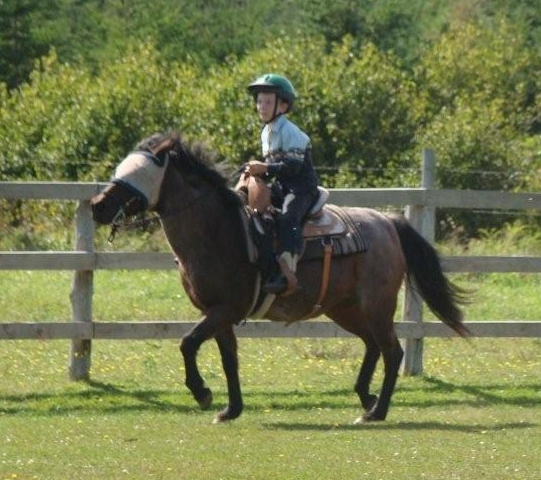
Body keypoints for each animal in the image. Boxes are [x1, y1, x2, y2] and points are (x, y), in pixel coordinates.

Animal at [89, 131, 468, 424]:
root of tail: (388, 222)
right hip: (345, 308)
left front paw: (202, 394)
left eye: (140, 172)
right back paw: (366, 398)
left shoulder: (225, 309)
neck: (219, 232)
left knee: (392, 351)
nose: (97, 205)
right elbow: (228, 358)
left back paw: (377, 411)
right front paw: (231, 409)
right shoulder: (217, 313)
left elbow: (188, 343)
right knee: (373, 345)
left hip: (376, 305)